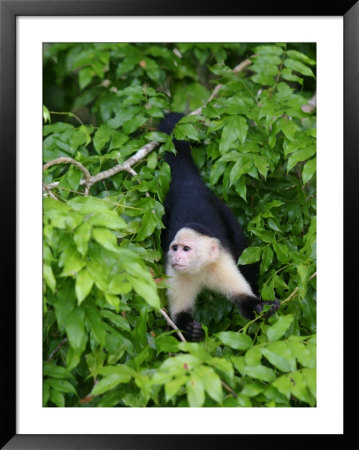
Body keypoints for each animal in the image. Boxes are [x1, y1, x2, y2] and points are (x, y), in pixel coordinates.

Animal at [159, 112, 280, 342]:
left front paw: (263, 307)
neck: (200, 269)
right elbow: (178, 317)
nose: (177, 257)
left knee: (242, 251)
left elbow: (244, 299)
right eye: (175, 248)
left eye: (186, 249)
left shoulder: (220, 263)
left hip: (219, 205)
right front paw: (190, 328)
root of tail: (188, 184)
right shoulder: (176, 273)